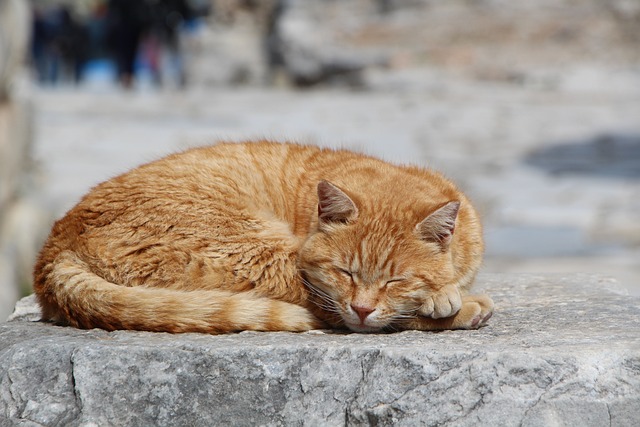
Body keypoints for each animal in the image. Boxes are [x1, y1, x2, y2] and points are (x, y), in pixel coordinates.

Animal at [33, 141, 496, 334]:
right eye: (344, 272)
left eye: (395, 279)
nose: (363, 307)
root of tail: (57, 239)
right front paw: (447, 296)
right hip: (257, 254)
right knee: (331, 313)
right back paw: (468, 309)